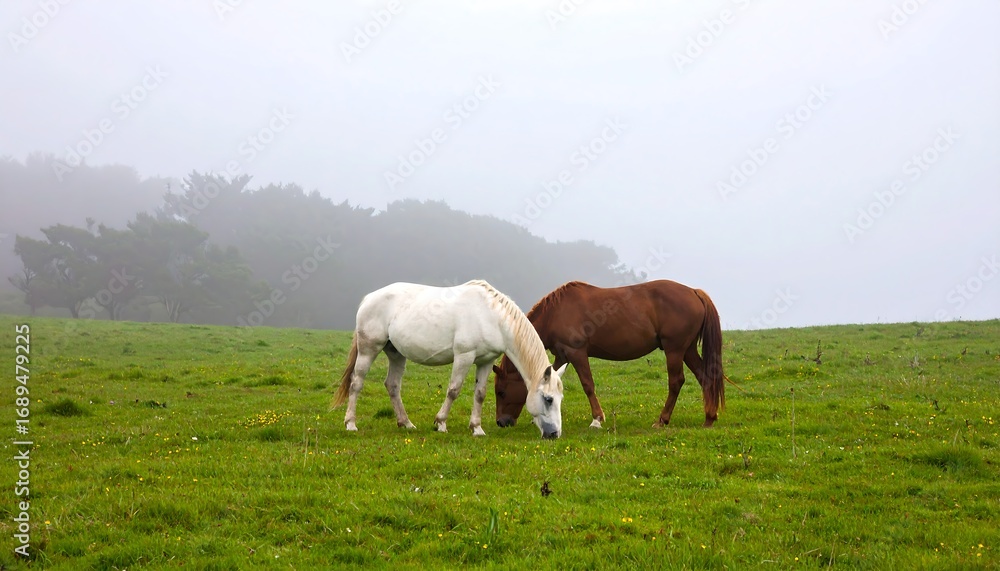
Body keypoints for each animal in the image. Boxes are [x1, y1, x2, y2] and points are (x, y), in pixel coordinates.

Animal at [332, 280, 568, 438]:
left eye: (560, 399)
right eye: (548, 399)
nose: (554, 434)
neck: (491, 316)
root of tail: (369, 298)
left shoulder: (485, 361)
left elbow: (480, 394)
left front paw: (477, 428)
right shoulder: (464, 356)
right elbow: (454, 390)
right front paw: (441, 423)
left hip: (396, 354)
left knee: (392, 385)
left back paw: (406, 423)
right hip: (369, 349)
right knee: (356, 383)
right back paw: (350, 423)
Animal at [492, 280, 724, 429]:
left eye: (501, 392)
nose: (501, 423)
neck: (555, 313)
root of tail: (694, 292)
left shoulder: (577, 353)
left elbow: (588, 385)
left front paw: (597, 419)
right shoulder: (562, 356)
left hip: (674, 349)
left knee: (676, 381)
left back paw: (663, 420)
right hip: (688, 349)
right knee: (705, 377)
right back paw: (709, 418)